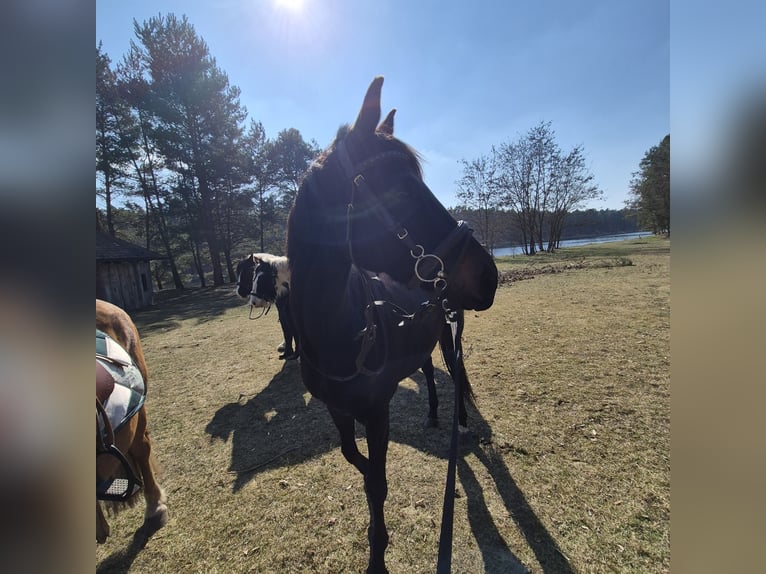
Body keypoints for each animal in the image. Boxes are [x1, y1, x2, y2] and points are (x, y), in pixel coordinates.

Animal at [250, 253, 474, 428]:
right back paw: (433, 415)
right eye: (254, 276)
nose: (252, 300)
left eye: (262, 277)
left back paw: (462, 421)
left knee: (455, 367)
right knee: (428, 370)